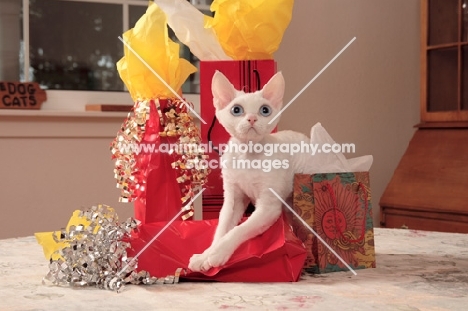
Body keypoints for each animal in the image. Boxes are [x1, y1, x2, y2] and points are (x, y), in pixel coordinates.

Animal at [187, 70, 314, 272]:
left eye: (264, 110)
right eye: (236, 110)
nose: (252, 118)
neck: (247, 155)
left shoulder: (268, 208)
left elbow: (238, 230)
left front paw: (218, 253)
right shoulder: (233, 200)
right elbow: (221, 230)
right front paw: (205, 254)